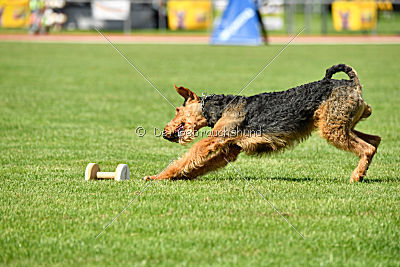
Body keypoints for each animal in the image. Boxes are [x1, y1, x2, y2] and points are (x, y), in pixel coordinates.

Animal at [144, 63, 382, 183]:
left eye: (177, 110)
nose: (164, 132)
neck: (220, 108)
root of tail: (352, 84)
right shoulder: (229, 150)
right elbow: (197, 165)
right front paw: (179, 177)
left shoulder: (213, 141)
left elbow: (187, 157)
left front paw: (157, 177)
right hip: (343, 126)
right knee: (375, 140)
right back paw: (362, 172)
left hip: (333, 129)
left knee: (367, 148)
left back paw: (356, 176)